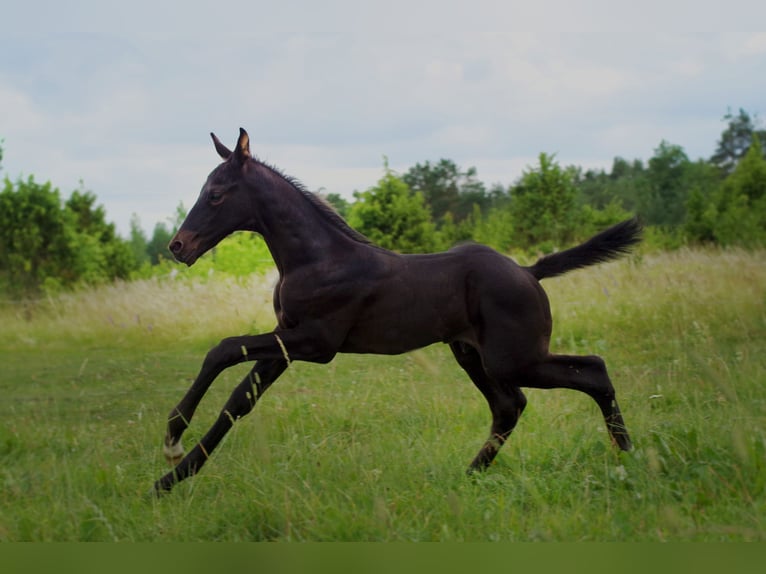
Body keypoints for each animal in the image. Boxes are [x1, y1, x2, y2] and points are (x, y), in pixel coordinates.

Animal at [153, 129, 640, 496]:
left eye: (216, 194)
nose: (178, 246)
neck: (317, 257)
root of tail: (528, 270)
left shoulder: (315, 342)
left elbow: (222, 349)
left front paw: (173, 437)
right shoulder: (286, 341)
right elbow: (239, 400)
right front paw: (169, 479)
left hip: (514, 357)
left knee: (593, 371)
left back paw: (629, 457)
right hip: (474, 354)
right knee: (509, 405)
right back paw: (469, 475)